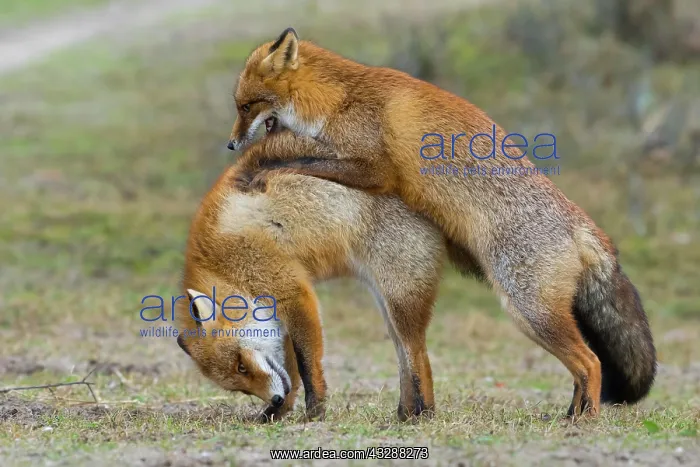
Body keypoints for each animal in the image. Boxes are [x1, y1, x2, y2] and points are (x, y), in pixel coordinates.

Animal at [175, 138, 446, 422]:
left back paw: (424, 412)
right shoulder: (278, 316)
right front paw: (279, 411)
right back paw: (406, 412)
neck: (221, 264)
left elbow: (306, 364)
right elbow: (290, 373)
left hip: (399, 299)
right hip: (387, 306)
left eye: (241, 366)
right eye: (242, 387)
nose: (274, 399)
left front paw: (315, 410)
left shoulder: (293, 293)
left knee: (418, 355)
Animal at [225, 27, 658, 419]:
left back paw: (585, 418)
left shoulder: (376, 169)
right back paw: (571, 413)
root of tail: (584, 226)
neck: (340, 100)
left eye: (245, 107)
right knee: (585, 364)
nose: (230, 144)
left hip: (529, 311)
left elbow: (302, 161)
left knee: (591, 362)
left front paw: (262, 170)